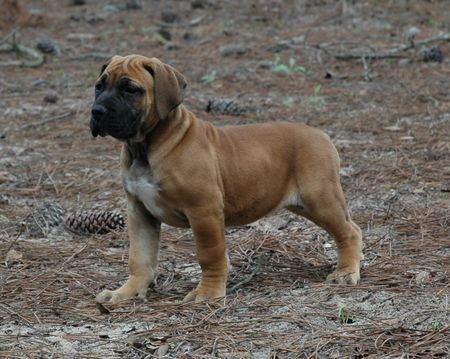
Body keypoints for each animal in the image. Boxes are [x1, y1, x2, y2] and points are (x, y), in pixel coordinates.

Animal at [91, 54, 362, 306]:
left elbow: (209, 255)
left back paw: (346, 272)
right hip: (305, 204)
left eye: (130, 89)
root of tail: (320, 134)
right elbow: (140, 256)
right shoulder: (140, 212)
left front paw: (208, 293)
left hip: (320, 199)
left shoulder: (203, 210)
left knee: (349, 231)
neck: (144, 147)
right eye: (99, 86)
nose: (96, 111)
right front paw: (127, 292)